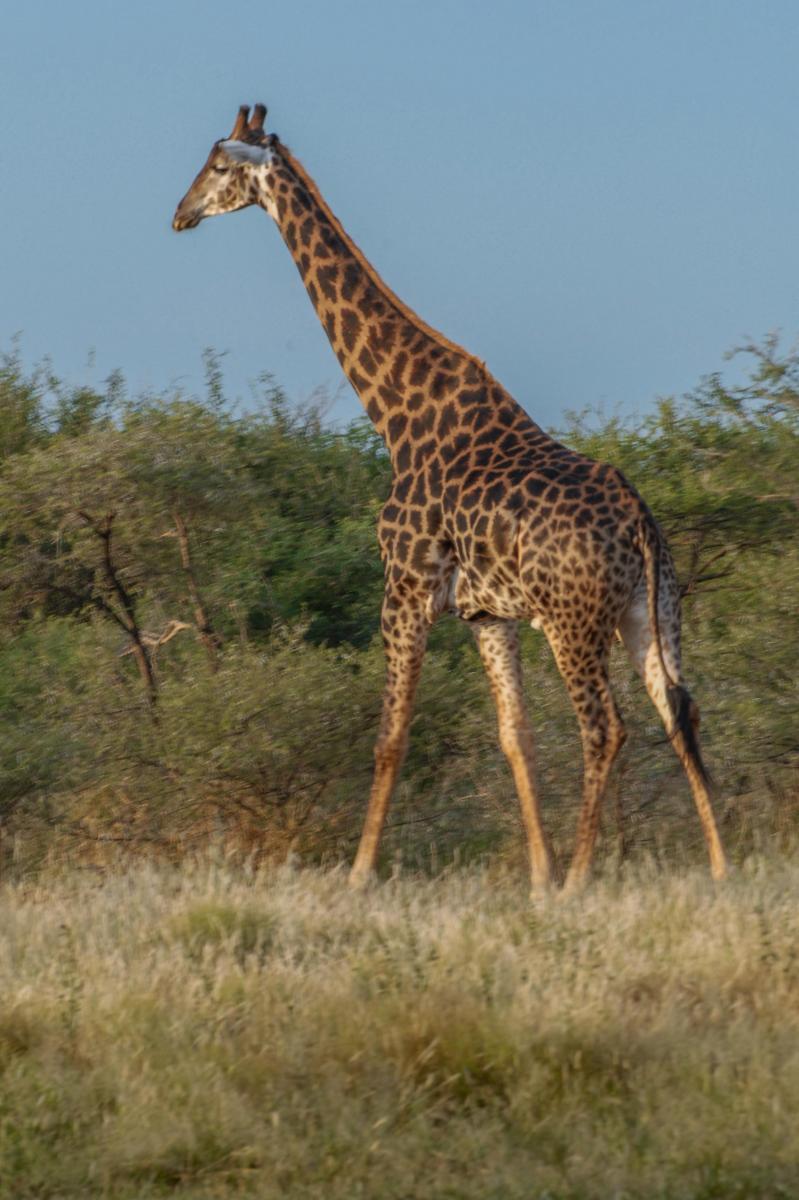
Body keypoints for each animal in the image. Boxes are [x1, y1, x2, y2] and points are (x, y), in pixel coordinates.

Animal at [172, 104, 727, 893]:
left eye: (218, 166)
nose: (180, 214)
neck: (396, 415)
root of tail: (639, 527)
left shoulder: (402, 588)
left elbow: (390, 736)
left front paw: (359, 875)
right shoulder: (486, 614)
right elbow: (514, 736)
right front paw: (537, 877)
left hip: (573, 622)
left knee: (605, 728)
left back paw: (584, 878)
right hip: (649, 610)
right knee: (681, 709)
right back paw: (719, 865)